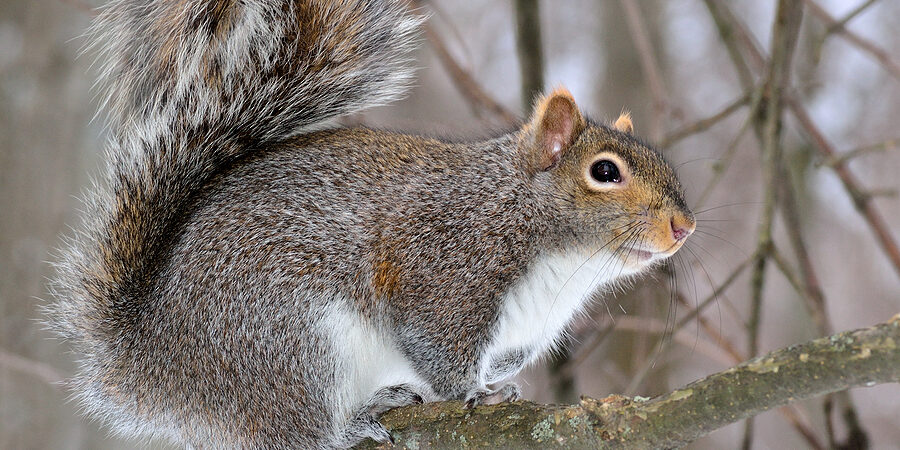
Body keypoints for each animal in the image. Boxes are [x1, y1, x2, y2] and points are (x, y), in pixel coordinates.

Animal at [48, 0, 695, 448]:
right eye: (604, 172)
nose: (683, 227)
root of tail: (149, 357)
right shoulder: (443, 267)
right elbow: (438, 350)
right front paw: (478, 395)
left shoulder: (523, 334)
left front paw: (497, 386)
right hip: (290, 344)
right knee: (302, 433)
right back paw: (353, 423)